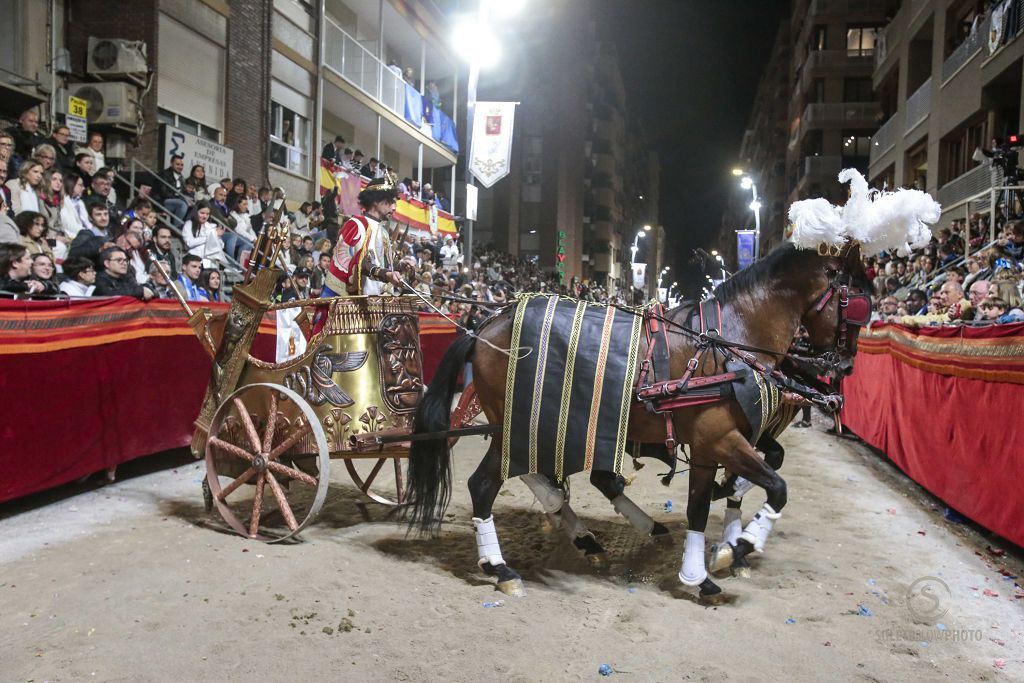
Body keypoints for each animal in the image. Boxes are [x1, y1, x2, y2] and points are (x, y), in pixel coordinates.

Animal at [403, 244, 868, 598]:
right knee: (486, 484)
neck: (728, 345)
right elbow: (777, 487)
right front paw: (740, 545)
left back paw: (587, 527)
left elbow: (701, 505)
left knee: (557, 475)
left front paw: (700, 572)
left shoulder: (711, 444)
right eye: (860, 304)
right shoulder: (722, 438)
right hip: (522, 425)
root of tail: (484, 324)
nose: (845, 366)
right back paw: (500, 566)